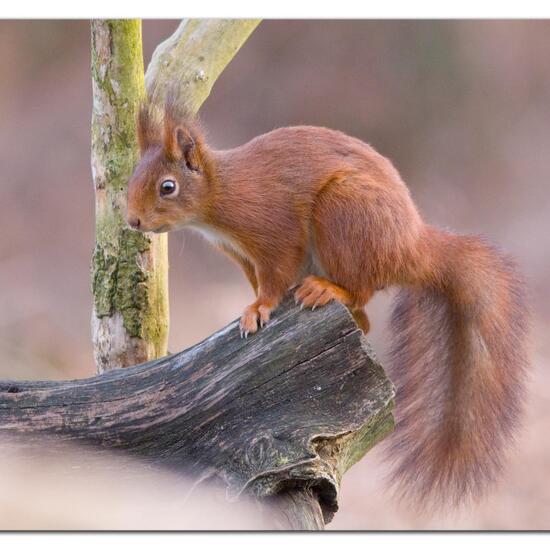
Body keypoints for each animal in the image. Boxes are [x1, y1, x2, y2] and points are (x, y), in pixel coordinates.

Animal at [128, 98, 532, 508]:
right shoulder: (241, 256)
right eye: (132, 177)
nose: (132, 221)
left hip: (344, 212)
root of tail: (410, 247)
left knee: (360, 288)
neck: (221, 193)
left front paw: (259, 309)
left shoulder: (275, 233)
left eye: (167, 187)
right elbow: (260, 281)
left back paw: (328, 291)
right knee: (365, 319)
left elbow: (275, 276)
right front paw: (254, 304)